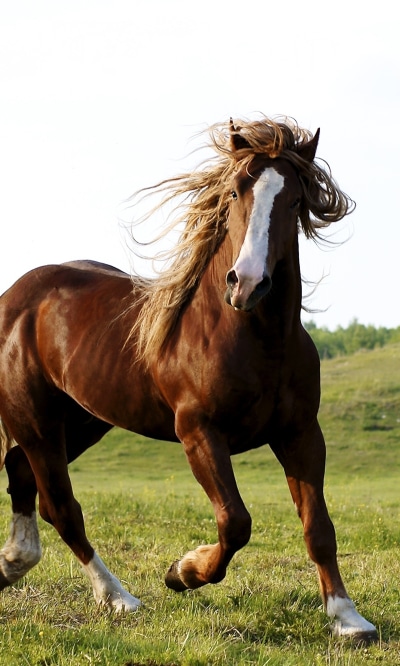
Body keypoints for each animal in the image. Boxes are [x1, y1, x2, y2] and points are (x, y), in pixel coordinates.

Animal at [0, 116, 377, 641]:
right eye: (236, 191)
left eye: (295, 199)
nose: (247, 283)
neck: (254, 336)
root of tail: (15, 297)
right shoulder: (198, 431)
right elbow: (236, 522)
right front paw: (182, 572)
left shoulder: (301, 433)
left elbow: (318, 527)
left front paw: (347, 618)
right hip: (36, 423)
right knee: (61, 508)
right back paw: (119, 598)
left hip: (81, 422)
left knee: (21, 475)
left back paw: (10, 565)